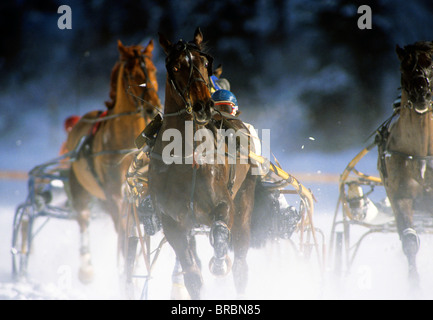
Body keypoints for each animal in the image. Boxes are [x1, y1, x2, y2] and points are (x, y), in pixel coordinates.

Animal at [66, 39, 162, 282]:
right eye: (131, 74)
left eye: (154, 69)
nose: (153, 107)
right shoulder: (115, 195)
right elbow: (123, 230)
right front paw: (127, 267)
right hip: (79, 184)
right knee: (84, 218)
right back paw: (86, 269)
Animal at [148, 28, 256, 300]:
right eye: (176, 66)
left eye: (204, 63)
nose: (203, 106)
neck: (185, 160)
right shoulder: (172, 222)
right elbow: (192, 274)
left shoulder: (223, 204)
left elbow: (220, 232)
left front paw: (218, 262)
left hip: (245, 201)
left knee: (240, 264)